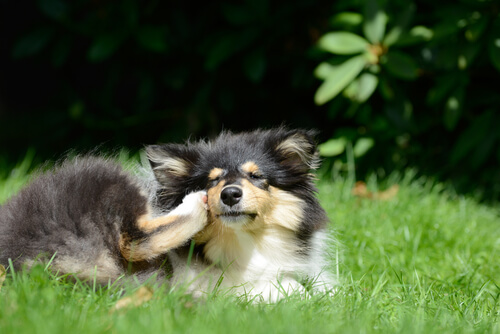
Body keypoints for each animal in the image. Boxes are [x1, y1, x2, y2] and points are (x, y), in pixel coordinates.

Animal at [0, 128, 336, 302]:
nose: (228, 194)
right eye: (212, 180)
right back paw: (193, 205)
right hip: (103, 177)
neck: (244, 241)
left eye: (257, 176)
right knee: (135, 241)